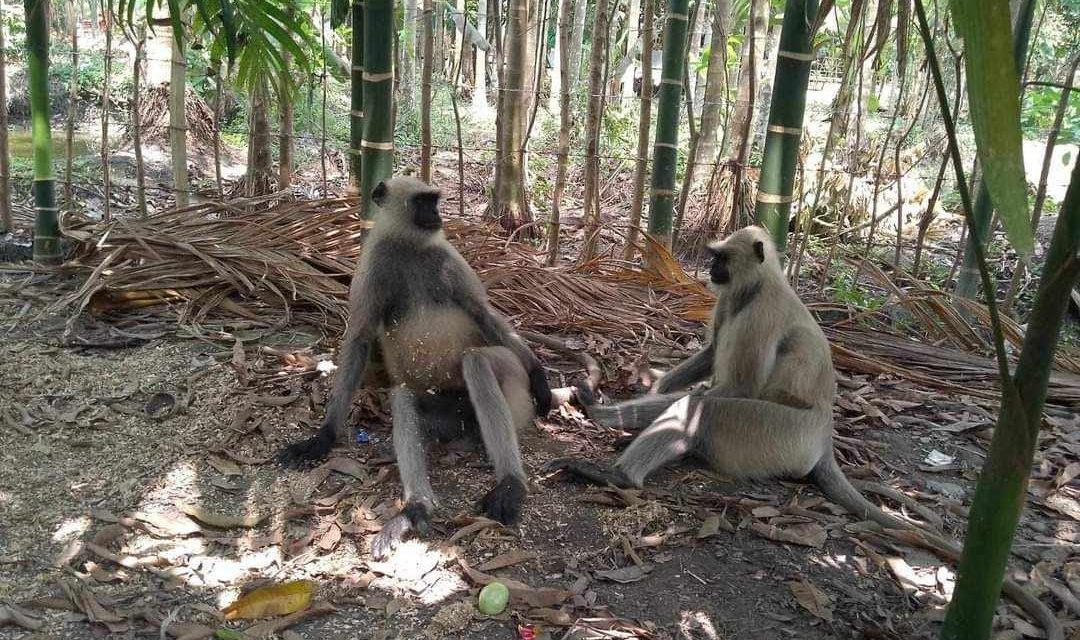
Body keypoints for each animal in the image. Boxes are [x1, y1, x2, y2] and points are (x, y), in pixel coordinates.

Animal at [278, 175, 552, 561]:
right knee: (403, 396)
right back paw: (414, 509)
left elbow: (483, 314)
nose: (437, 214)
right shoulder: (373, 265)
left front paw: (540, 377)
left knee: (477, 360)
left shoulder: (448, 257)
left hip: (514, 399)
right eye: (423, 202)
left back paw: (510, 483)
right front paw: (324, 436)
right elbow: (359, 341)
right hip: (449, 416)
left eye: (433, 201)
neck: (408, 246)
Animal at [548, 225, 1062, 638]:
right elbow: (708, 356)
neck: (756, 287)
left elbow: (731, 387)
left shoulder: (759, 315)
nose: (710, 268)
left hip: (773, 432)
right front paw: (640, 392)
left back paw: (618, 474)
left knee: (705, 408)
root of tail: (823, 436)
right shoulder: (728, 302)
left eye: (721, 257)